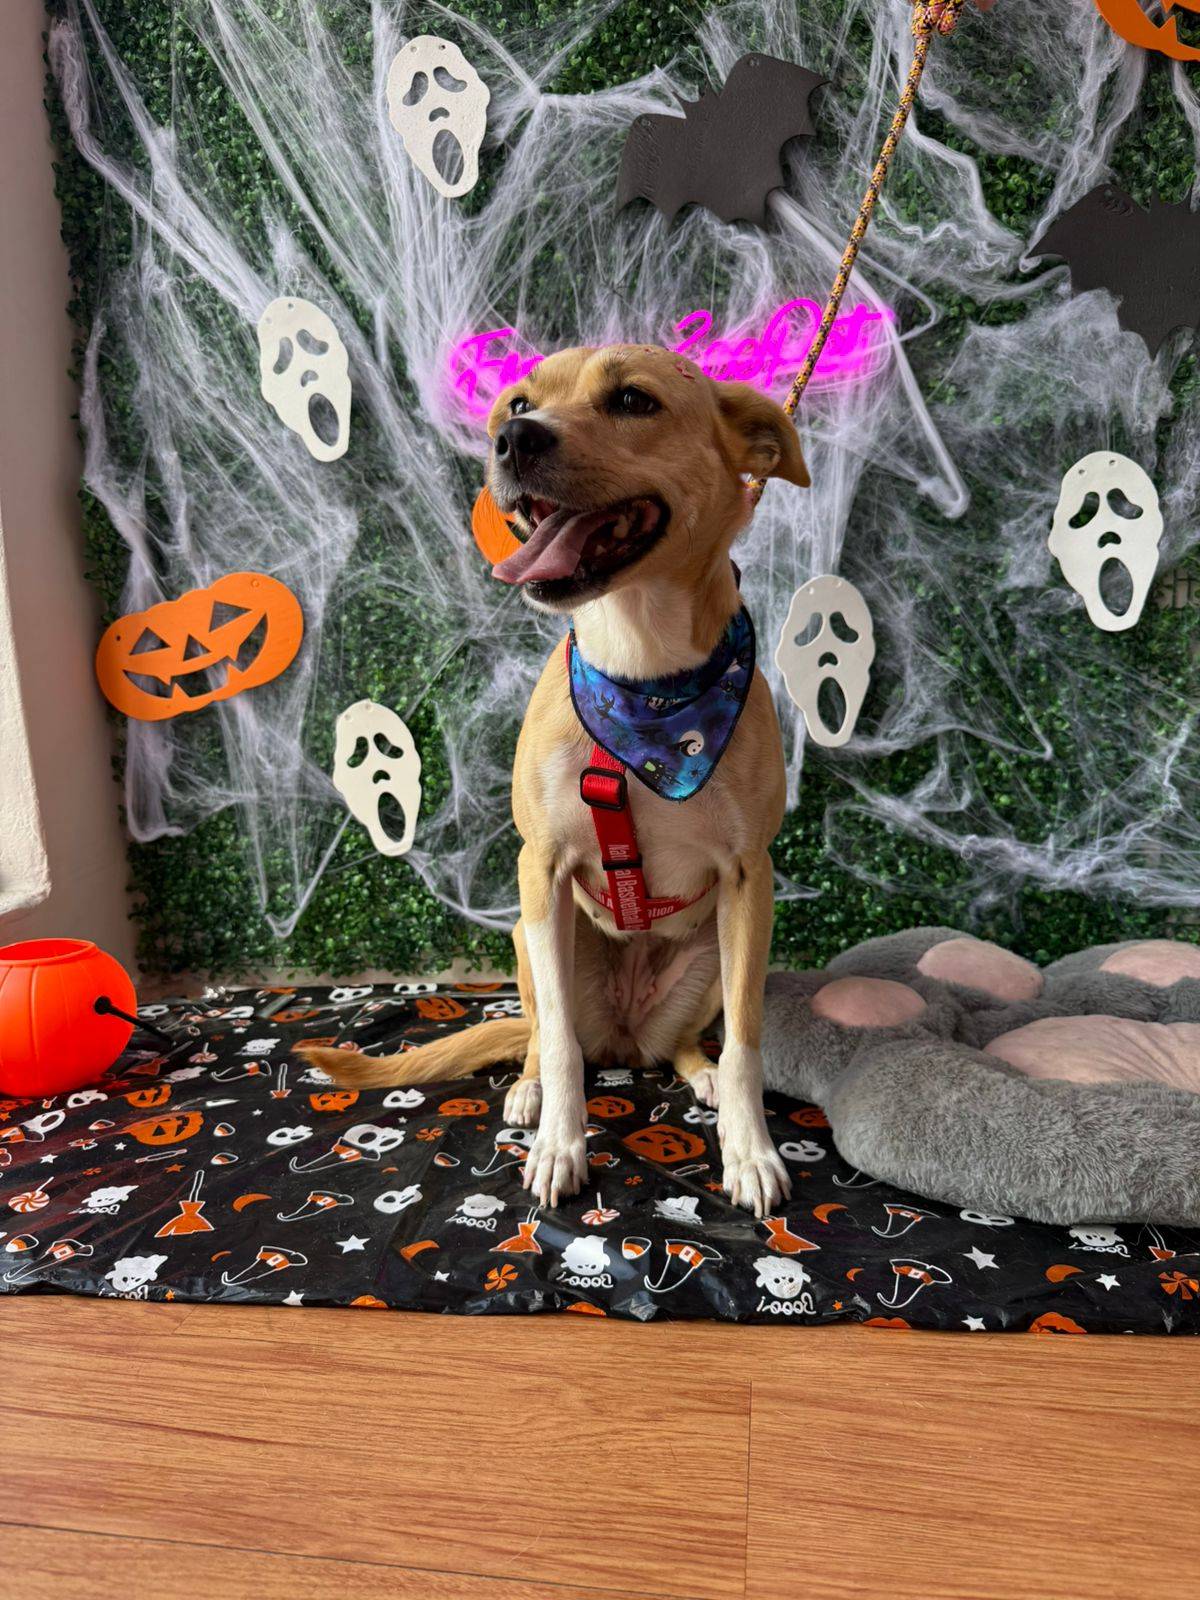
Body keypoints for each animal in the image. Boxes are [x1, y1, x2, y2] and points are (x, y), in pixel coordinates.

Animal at [298, 344, 808, 1214]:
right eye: (518, 402)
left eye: (633, 400)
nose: (514, 439)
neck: (644, 679)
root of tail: (626, 1034)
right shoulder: (541, 868)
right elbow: (565, 1048)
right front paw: (560, 1147)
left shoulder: (750, 880)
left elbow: (747, 1043)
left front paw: (748, 1152)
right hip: (532, 942)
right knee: (546, 1034)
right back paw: (531, 1090)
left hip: (709, 957)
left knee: (677, 1046)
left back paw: (696, 1072)